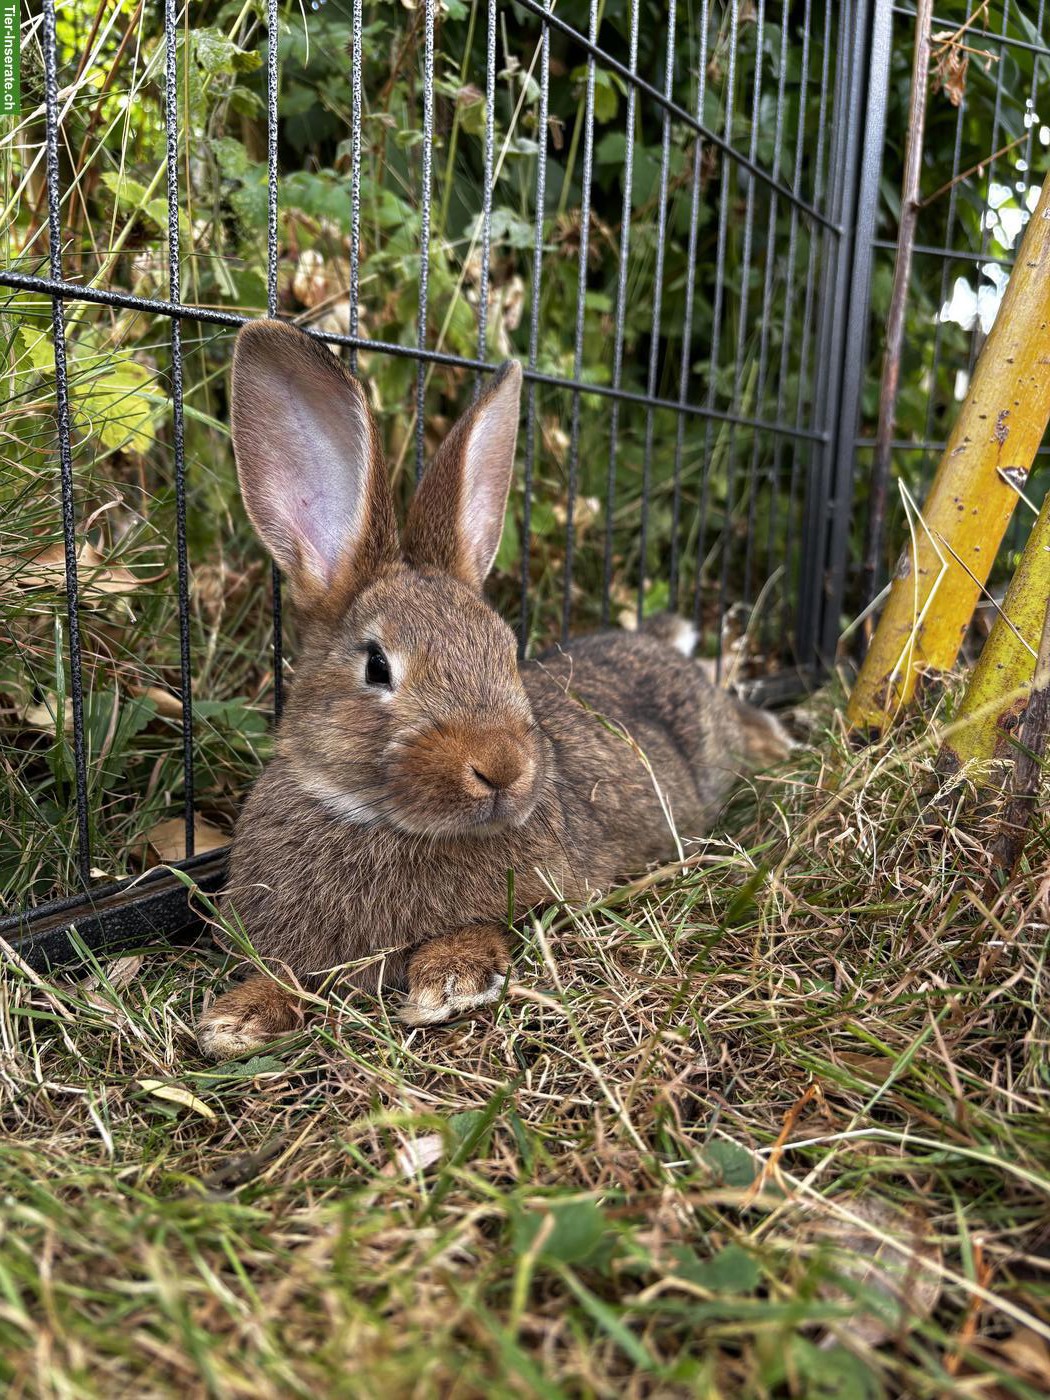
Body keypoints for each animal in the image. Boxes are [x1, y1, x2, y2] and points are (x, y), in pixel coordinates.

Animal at [196, 321, 792, 1057]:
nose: (503, 768)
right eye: (377, 667)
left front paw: (448, 980)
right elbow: (283, 974)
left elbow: (489, 926)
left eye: (507, 654)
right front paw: (236, 1020)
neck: (375, 819)